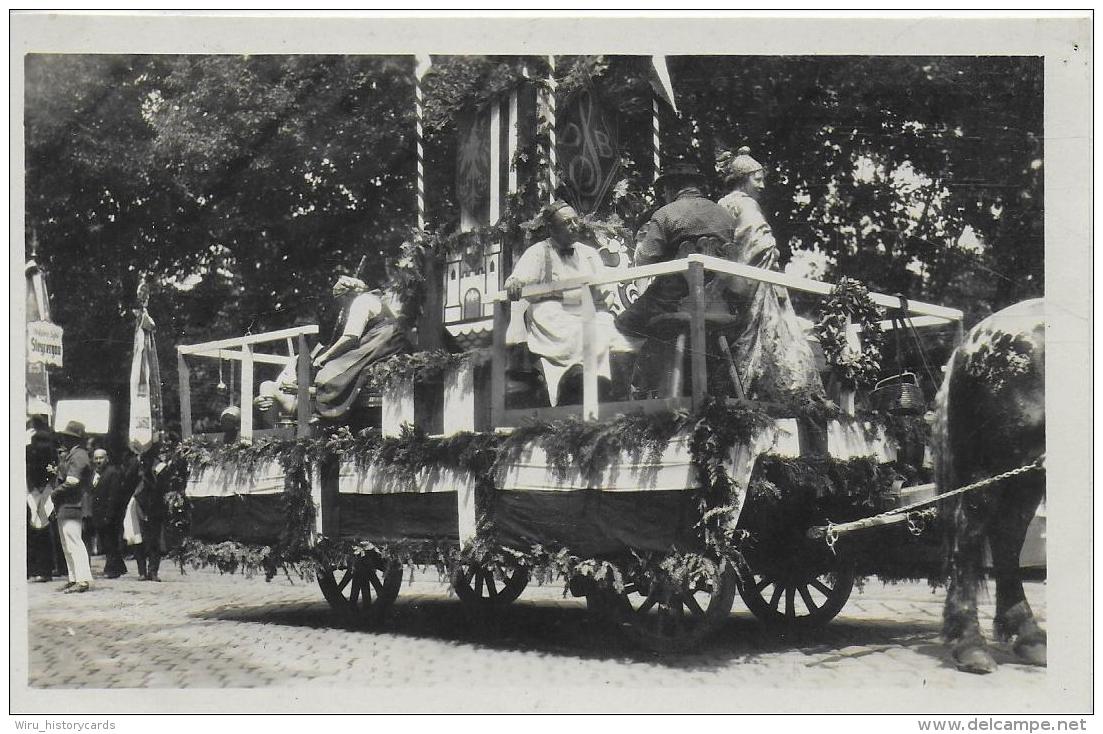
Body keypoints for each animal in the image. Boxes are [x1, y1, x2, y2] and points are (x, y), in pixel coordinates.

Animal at [935, 295, 1045, 671]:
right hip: (989, 466)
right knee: (970, 531)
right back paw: (970, 643)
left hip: (1028, 470)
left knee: (1007, 533)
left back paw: (1028, 635)